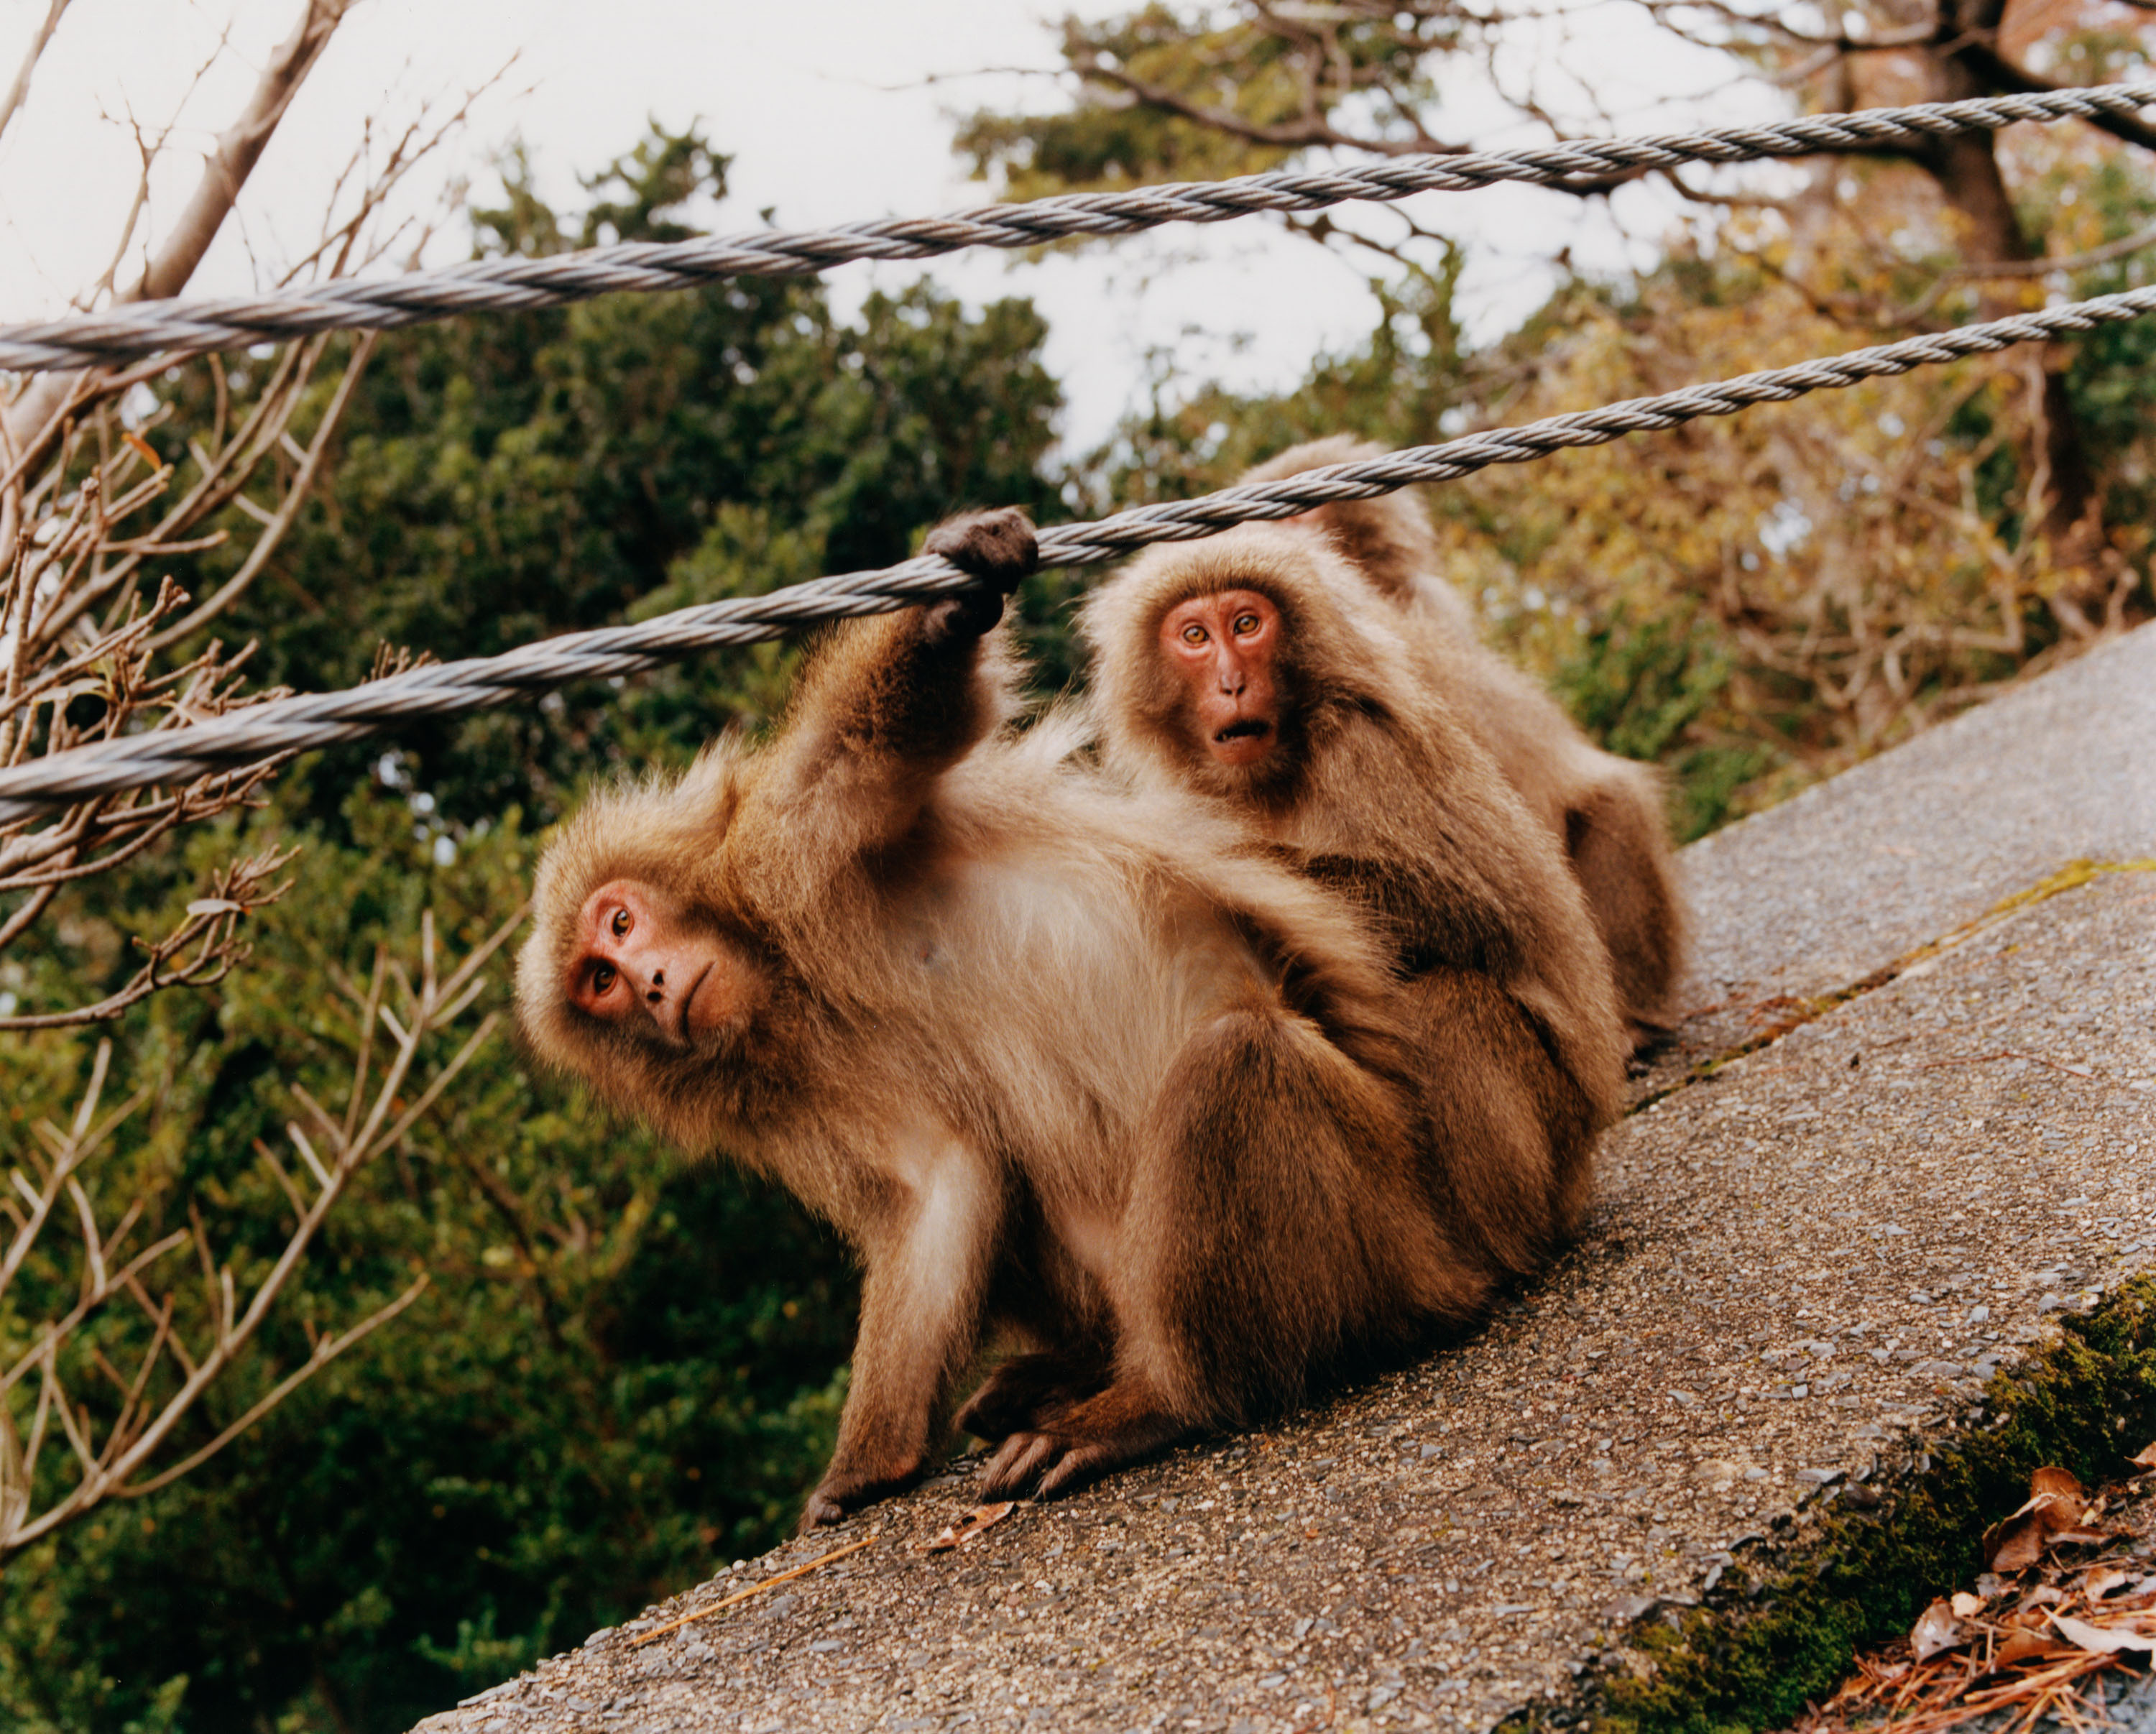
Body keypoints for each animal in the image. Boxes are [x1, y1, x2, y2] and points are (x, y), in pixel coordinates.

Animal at [522, 509, 1501, 1526]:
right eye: (598, 980)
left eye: (621, 923)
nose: (652, 985)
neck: (784, 969)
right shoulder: (785, 1077)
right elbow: (938, 1181)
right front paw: (870, 1462)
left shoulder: (789, 849)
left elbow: (888, 746)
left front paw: (957, 594)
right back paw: (1079, 1368)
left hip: (1388, 1219)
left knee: (1239, 1061)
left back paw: (1160, 1400)